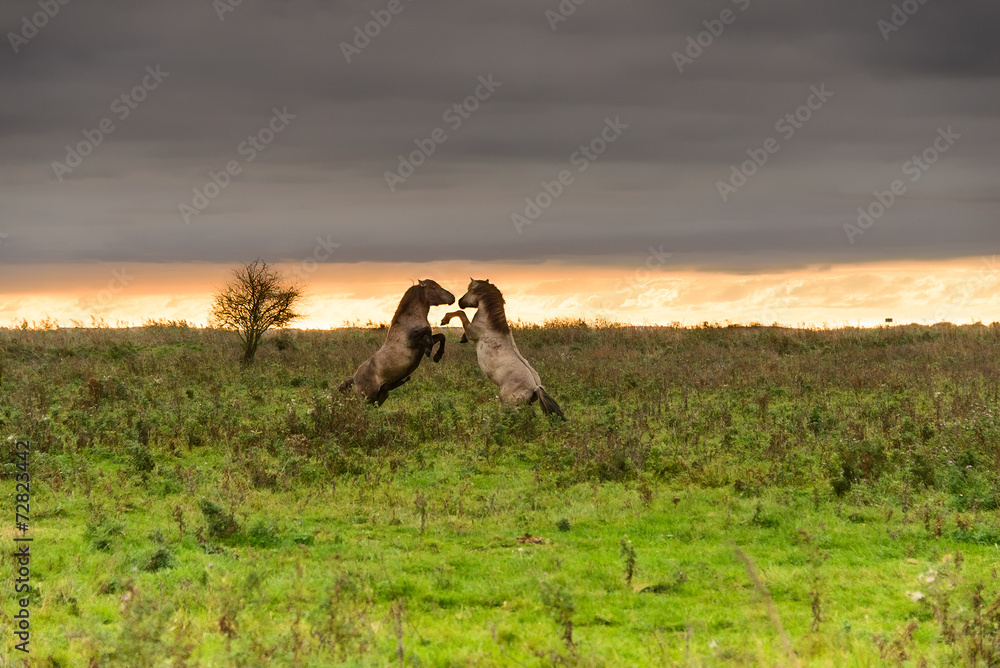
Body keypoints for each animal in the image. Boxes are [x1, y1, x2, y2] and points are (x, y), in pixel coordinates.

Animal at [441, 279, 565, 419]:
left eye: (469, 290)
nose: (460, 301)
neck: (489, 324)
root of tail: (536, 386)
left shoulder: (472, 332)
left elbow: (460, 313)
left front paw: (444, 320)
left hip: (508, 402)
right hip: (527, 404)